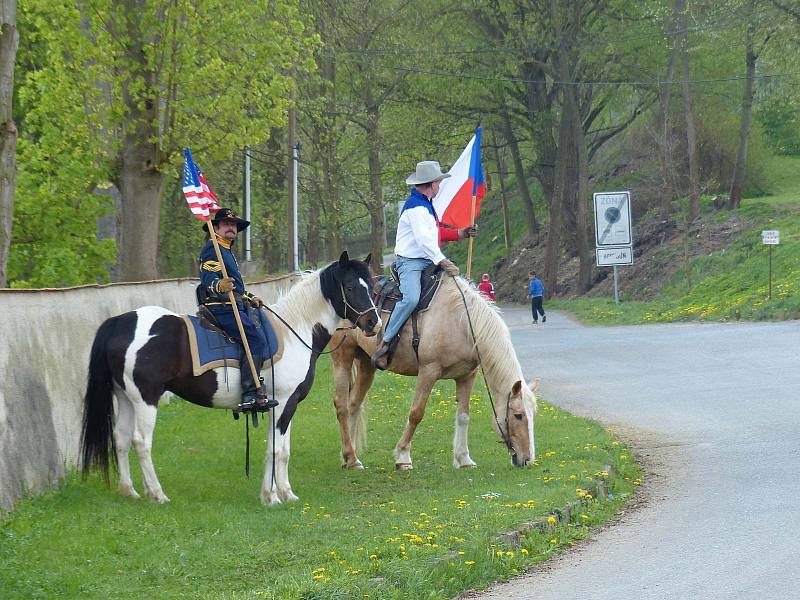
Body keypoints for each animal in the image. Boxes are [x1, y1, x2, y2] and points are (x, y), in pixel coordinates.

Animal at [81, 251, 382, 504]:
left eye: (372, 287)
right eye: (351, 287)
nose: (374, 323)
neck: (295, 330)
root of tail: (120, 322)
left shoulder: (288, 405)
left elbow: (283, 449)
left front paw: (286, 493)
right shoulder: (283, 402)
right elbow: (275, 450)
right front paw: (271, 497)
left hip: (125, 398)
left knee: (120, 439)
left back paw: (129, 491)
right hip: (146, 399)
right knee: (141, 442)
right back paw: (157, 494)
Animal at [332, 274, 536, 472]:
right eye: (518, 415)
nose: (527, 460)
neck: (462, 323)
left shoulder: (466, 376)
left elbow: (463, 416)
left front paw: (464, 458)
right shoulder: (428, 372)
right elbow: (416, 413)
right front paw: (403, 457)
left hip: (366, 364)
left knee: (354, 404)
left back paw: (351, 457)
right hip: (343, 357)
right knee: (342, 405)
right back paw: (350, 455)